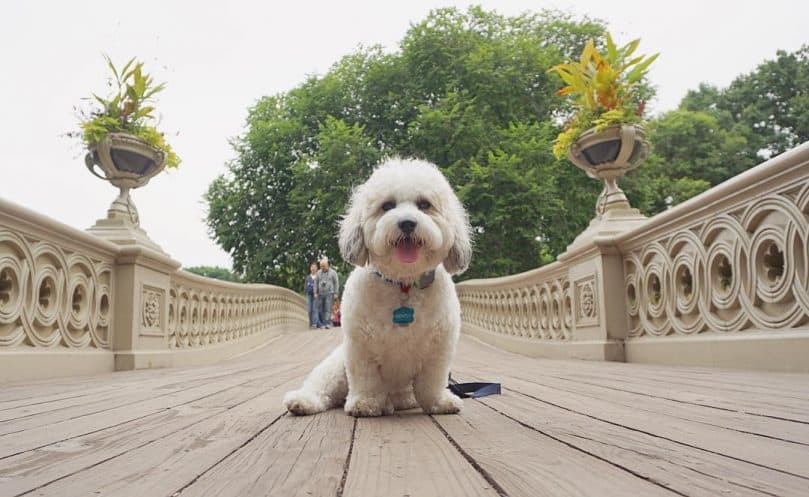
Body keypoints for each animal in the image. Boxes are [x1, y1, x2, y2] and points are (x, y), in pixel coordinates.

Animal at [284, 158, 474, 414]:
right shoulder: (360, 346)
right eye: (387, 206)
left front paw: (439, 402)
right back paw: (303, 401)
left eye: (425, 204)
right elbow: (366, 378)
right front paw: (365, 403)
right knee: (322, 387)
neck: (403, 283)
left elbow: (432, 381)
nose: (407, 223)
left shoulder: (439, 348)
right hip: (336, 368)